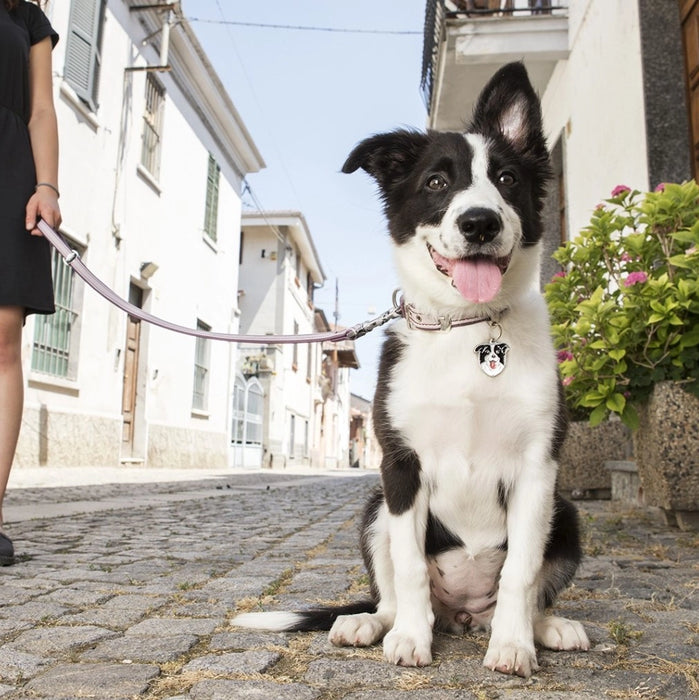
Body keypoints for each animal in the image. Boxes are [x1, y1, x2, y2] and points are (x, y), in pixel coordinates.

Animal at [234, 64, 592, 680]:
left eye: (506, 178)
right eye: (435, 183)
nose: (479, 223)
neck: (466, 326)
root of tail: (465, 615)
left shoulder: (538, 468)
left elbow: (521, 570)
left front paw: (514, 645)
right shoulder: (400, 467)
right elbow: (409, 567)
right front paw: (408, 639)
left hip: (564, 514)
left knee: (531, 587)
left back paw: (544, 628)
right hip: (375, 508)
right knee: (392, 593)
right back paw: (375, 624)